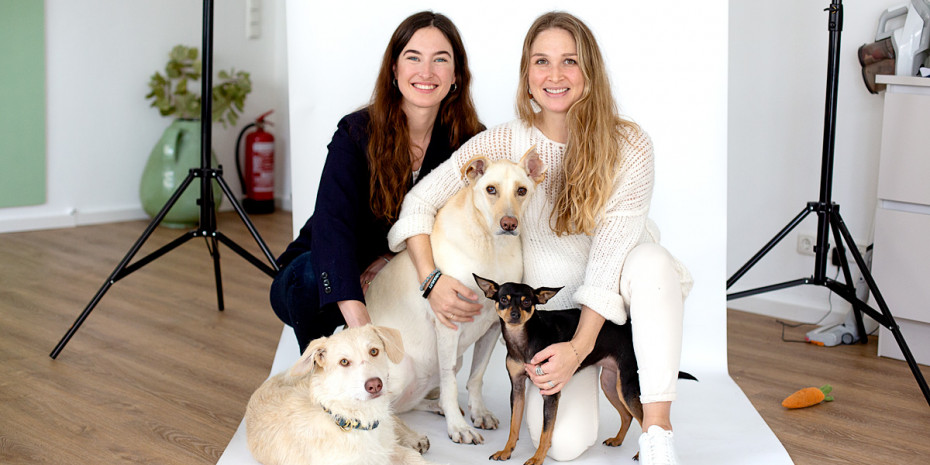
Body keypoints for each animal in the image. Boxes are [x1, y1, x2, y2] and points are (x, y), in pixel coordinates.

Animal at [364, 150, 544, 444]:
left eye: (522, 190)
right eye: (490, 189)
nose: (509, 224)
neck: (491, 248)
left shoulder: (494, 326)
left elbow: (477, 374)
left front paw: (478, 412)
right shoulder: (448, 325)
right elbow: (449, 382)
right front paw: (458, 427)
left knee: (404, 406)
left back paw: (434, 407)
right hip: (401, 370)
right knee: (380, 411)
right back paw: (412, 437)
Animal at [474, 274, 692, 462]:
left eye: (527, 302)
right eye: (503, 299)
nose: (514, 314)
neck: (523, 340)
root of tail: (629, 327)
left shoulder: (550, 393)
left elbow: (546, 432)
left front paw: (537, 458)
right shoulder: (517, 389)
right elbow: (514, 425)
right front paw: (506, 451)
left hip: (626, 386)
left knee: (642, 418)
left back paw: (641, 453)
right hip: (610, 384)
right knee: (627, 415)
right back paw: (617, 440)